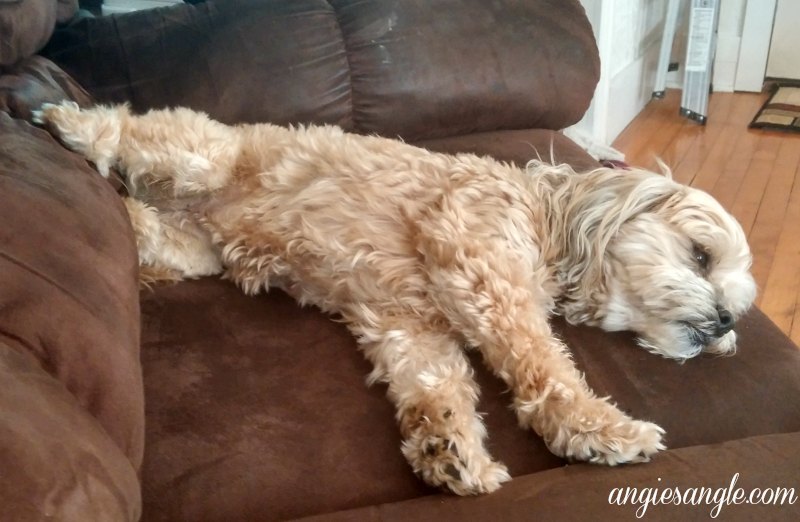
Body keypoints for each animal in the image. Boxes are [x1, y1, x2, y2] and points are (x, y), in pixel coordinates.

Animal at [32, 99, 756, 494]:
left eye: (737, 306)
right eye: (700, 255)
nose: (725, 322)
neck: (548, 220)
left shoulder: (409, 324)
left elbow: (436, 385)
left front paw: (448, 447)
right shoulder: (482, 267)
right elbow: (545, 366)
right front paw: (598, 429)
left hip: (188, 248)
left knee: (141, 223)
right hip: (198, 154)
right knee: (124, 128)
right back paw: (67, 121)